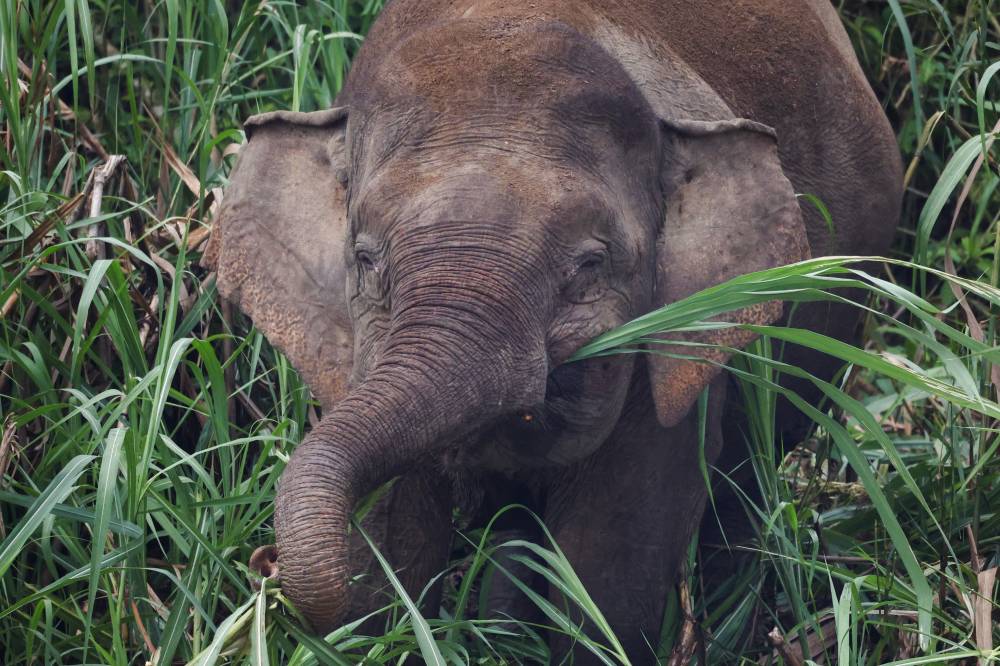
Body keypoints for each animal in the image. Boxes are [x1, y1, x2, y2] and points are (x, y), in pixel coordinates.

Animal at [204, 0, 901, 661]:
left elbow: (616, 553)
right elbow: (393, 535)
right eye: (366, 259)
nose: (262, 565)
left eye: (589, 265)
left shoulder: (674, 329)